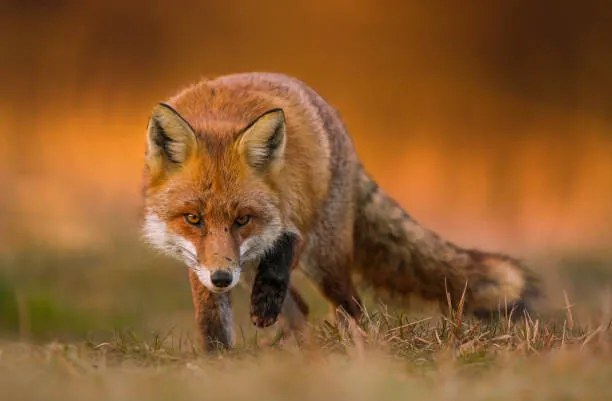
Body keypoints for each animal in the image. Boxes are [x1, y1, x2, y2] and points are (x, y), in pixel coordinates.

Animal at [141, 72, 536, 350]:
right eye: (193, 218)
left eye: (243, 219)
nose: (223, 278)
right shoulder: (201, 263)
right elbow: (212, 324)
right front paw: (218, 364)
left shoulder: (296, 218)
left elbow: (283, 251)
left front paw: (266, 302)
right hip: (256, 266)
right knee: (300, 309)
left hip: (328, 263)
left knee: (351, 308)